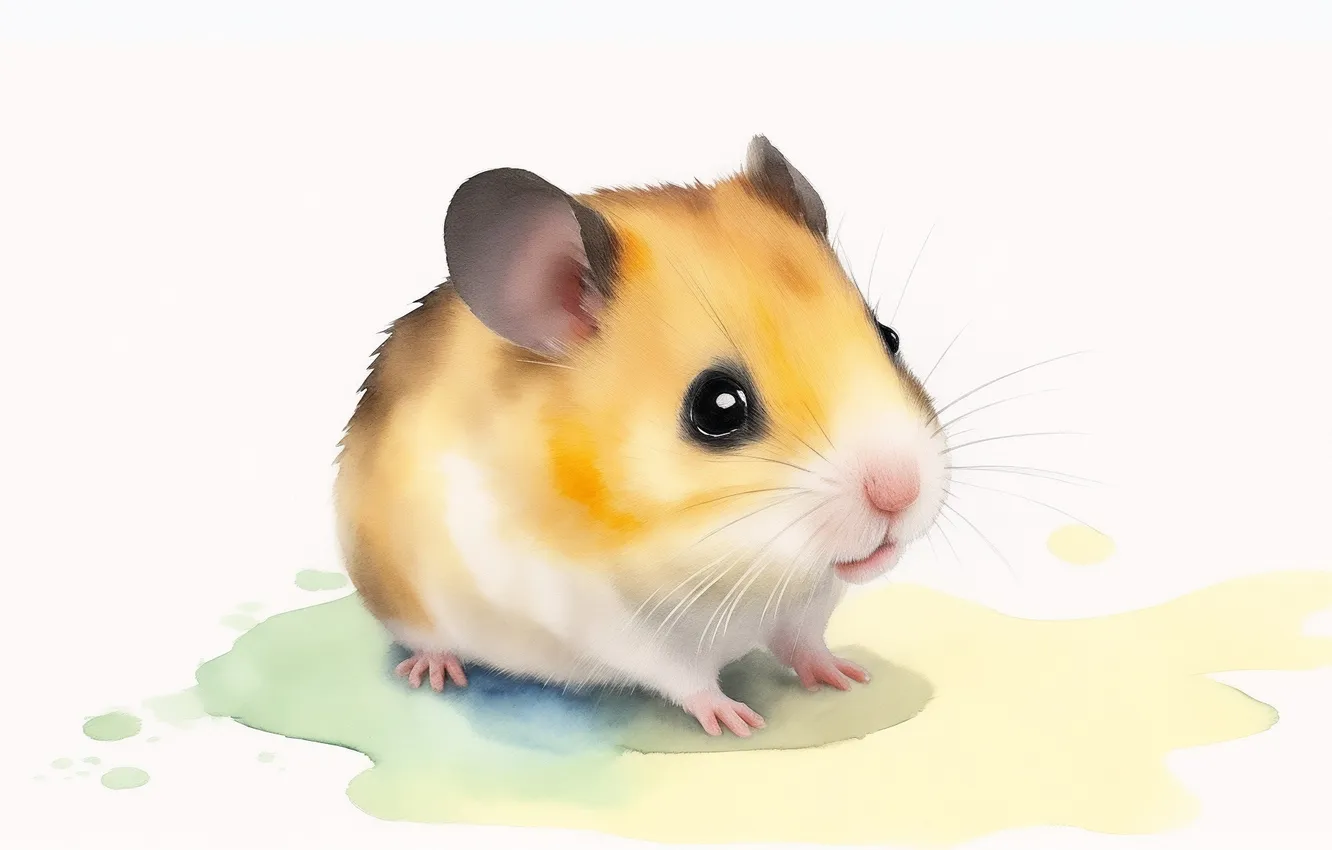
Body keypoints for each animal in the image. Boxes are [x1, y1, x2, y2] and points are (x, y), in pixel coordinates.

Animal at [334, 136, 948, 737]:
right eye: (717, 406)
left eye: (889, 337)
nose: (900, 495)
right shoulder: (608, 620)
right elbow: (688, 678)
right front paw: (740, 722)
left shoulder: (806, 605)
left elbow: (804, 643)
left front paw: (847, 676)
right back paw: (434, 672)